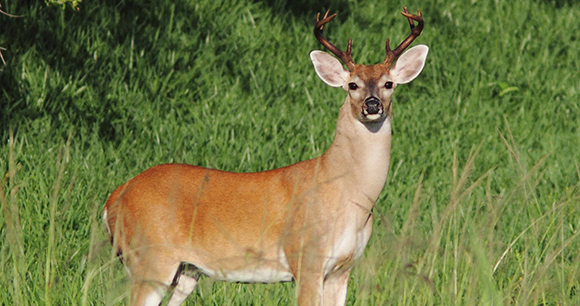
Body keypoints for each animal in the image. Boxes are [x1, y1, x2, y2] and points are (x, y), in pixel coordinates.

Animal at [102, 7, 428, 306]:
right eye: (352, 85)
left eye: (389, 83)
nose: (372, 105)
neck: (348, 193)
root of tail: (113, 199)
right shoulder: (305, 256)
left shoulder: (342, 268)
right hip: (150, 256)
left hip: (186, 270)